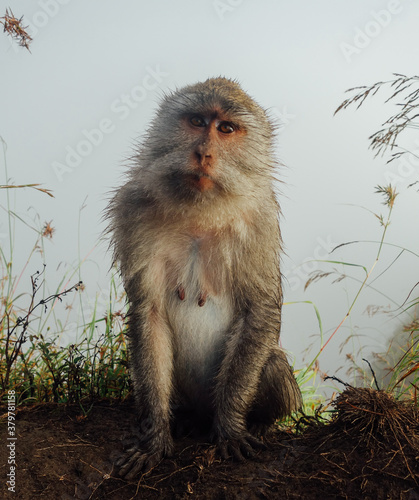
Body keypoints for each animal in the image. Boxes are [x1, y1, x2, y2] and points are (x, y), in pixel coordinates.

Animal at [105, 76, 302, 478]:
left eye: (226, 129)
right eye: (196, 121)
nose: (204, 153)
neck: (200, 210)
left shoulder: (260, 220)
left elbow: (260, 309)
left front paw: (230, 430)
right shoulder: (133, 210)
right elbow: (148, 312)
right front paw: (154, 438)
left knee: (272, 362)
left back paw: (258, 423)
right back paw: (180, 420)